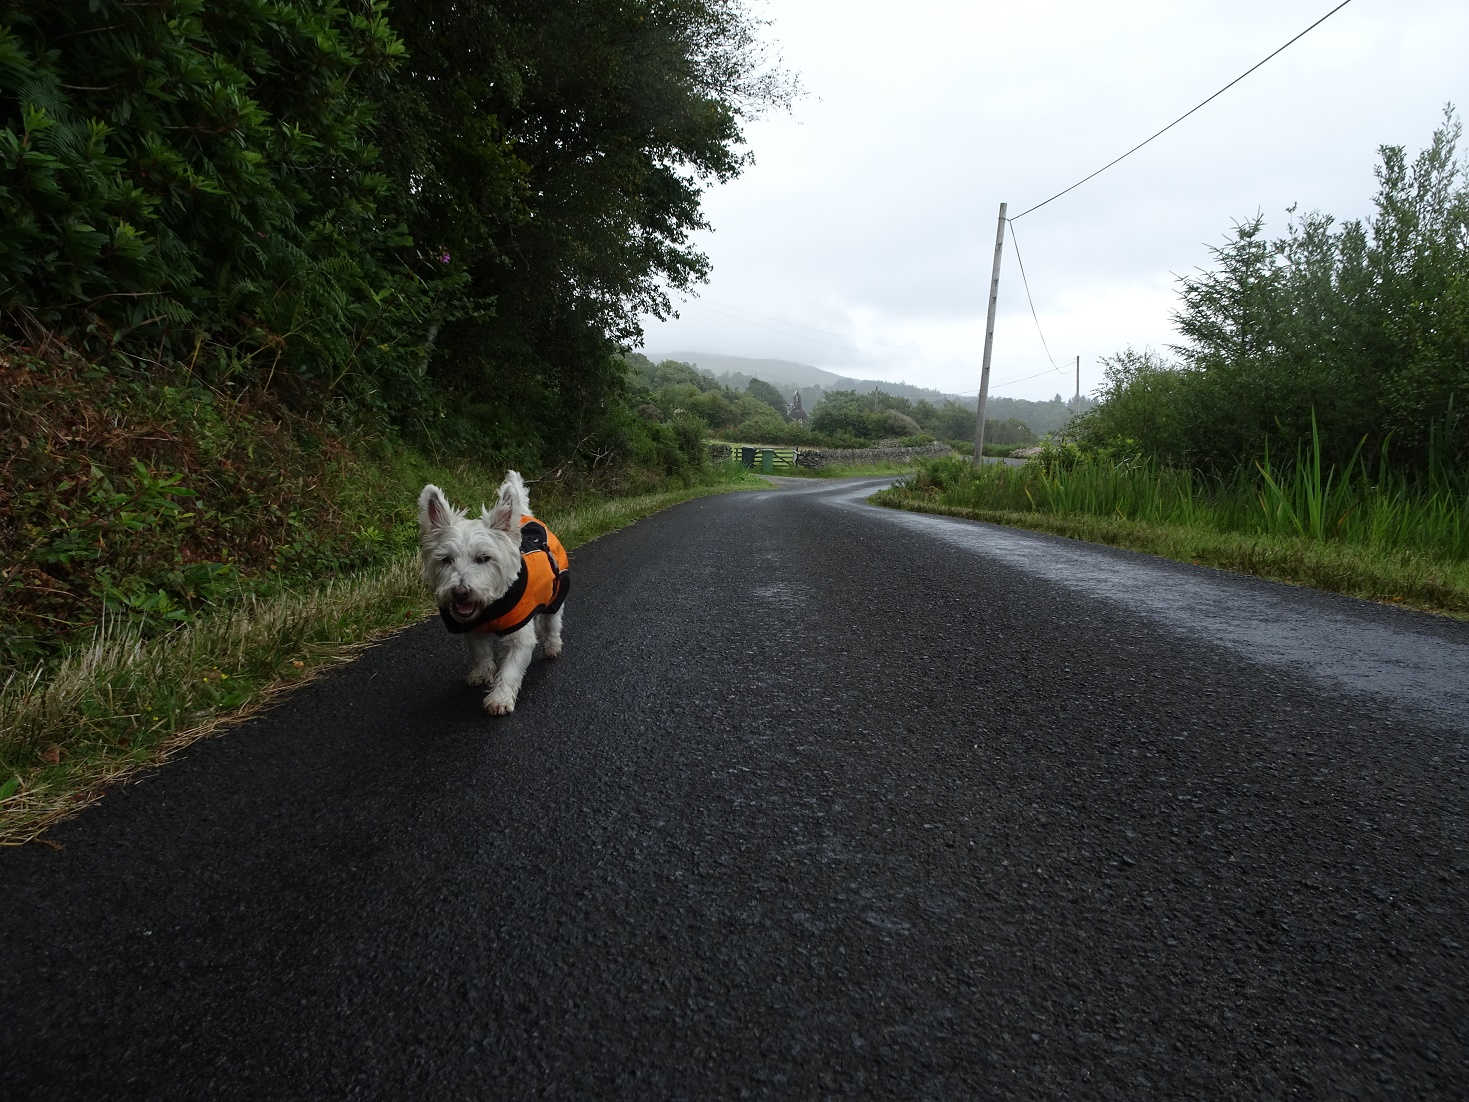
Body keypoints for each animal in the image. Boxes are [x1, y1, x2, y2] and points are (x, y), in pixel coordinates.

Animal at [423, 473, 569, 717]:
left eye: (484, 558)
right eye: (445, 559)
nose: (460, 593)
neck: (490, 607)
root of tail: (527, 516)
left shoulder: (520, 638)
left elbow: (510, 669)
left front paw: (499, 698)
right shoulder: (473, 629)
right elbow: (481, 653)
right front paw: (482, 673)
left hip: (556, 595)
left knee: (552, 623)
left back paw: (552, 646)